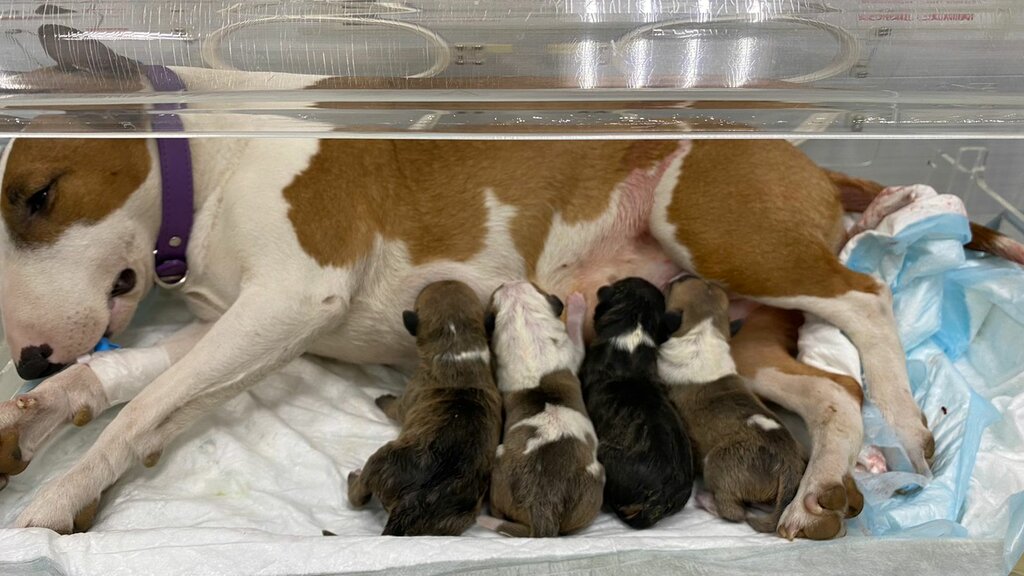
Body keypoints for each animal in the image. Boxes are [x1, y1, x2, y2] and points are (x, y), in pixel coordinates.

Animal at [346, 280, 501, 537]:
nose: (442, 279)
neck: (457, 346)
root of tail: (412, 505)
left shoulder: (408, 395)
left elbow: (394, 407)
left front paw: (383, 398)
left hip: (381, 459)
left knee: (359, 495)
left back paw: (353, 478)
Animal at [483, 280, 602, 537]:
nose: (509, 281)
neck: (527, 335)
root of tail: (542, 505)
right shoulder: (574, 353)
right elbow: (577, 337)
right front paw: (577, 304)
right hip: (594, 485)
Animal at [655, 276, 806, 532]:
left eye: (677, 284)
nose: (673, 277)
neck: (703, 332)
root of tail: (788, 467)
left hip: (717, 463)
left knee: (734, 512)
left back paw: (707, 500)